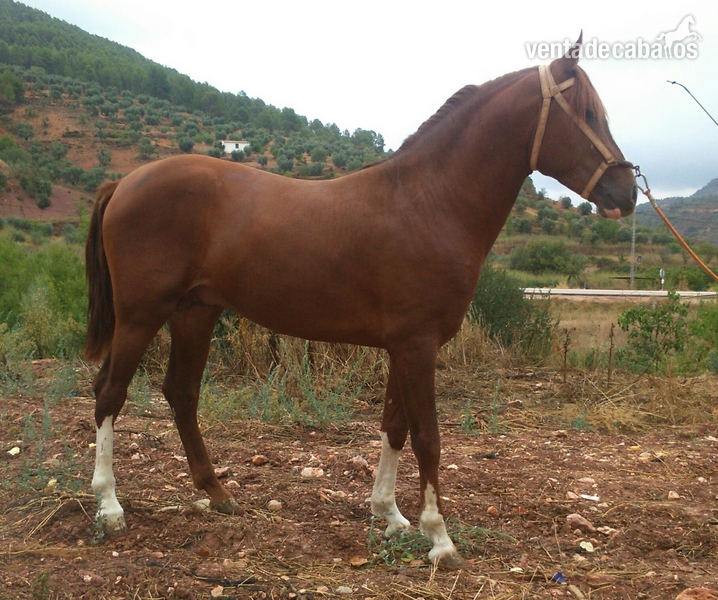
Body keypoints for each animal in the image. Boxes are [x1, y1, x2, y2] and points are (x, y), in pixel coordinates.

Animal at [85, 37, 636, 568]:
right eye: (586, 113)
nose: (626, 192)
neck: (430, 202)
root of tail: (123, 182)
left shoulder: (404, 346)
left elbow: (394, 428)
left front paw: (390, 516)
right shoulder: (417, 345)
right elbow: (427, 437)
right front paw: (440, 539)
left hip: (194, 313)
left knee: (181, 393)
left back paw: (218, 494)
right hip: (141, 315)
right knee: (110, 393)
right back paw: (110, 508)